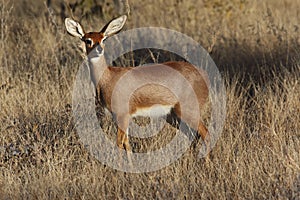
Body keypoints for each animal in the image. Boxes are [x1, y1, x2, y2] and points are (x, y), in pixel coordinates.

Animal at [65, 15, 210, 156]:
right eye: (87, 40)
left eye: (103, 39)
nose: (99, 49)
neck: (107, 78)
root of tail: (203, 76)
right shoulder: (119, 116)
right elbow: (127, 144)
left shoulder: (122, 114)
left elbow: (119, 143)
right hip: (174, 116)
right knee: (194, 136)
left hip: (188, 112)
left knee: (205, 133)